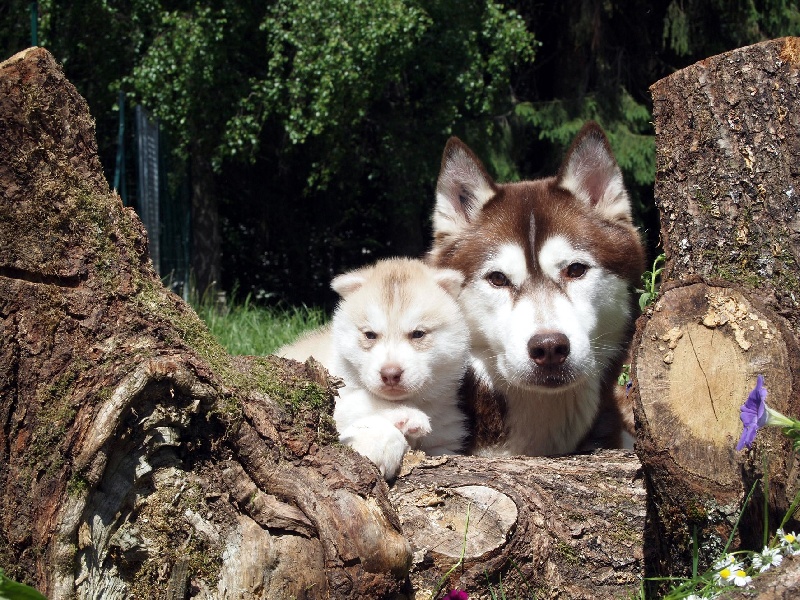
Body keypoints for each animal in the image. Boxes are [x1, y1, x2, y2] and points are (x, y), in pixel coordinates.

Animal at [280, 258, 468, 478]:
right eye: (370, 335)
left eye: (418, 334)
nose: (390, 374)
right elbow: (361, 401)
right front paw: (404, 416)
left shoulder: (444, 436)